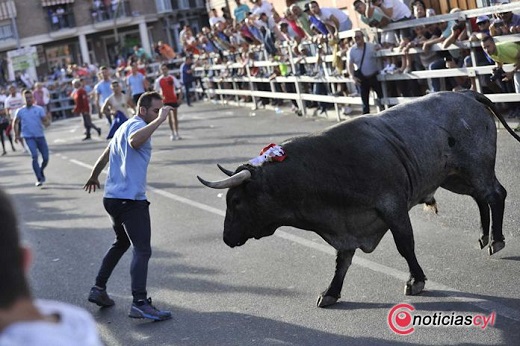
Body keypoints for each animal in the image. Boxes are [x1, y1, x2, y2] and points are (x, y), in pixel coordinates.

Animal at [197, 90, 520, 306]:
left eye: (235, 202)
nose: (226, 237)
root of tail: (465, 93)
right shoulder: (346, 227)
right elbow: (342, 261)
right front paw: (330, 292)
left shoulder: (393, 208)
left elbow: (405, 245)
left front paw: (415, 280)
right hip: (454, 177)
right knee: (481, 197)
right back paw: (484, 235)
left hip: (475, 167)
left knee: (495, 194)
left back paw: (496, 239)